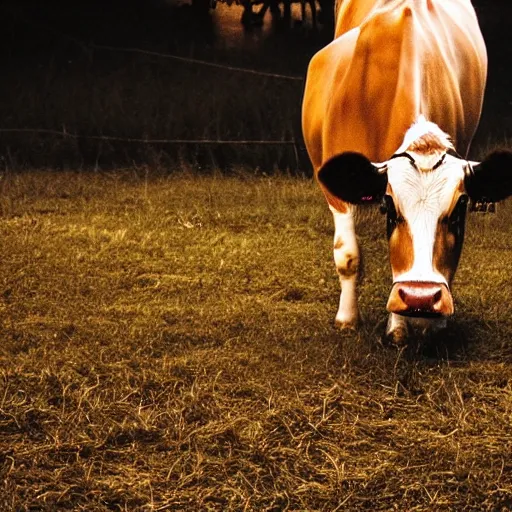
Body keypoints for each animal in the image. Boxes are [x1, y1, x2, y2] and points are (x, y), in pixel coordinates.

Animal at [302, 1, 512, 344]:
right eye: (389, 205)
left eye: (460, 206)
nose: (421, 298)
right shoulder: (335, 190)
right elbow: (347, 257)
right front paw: (347, 319)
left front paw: (403, 327)